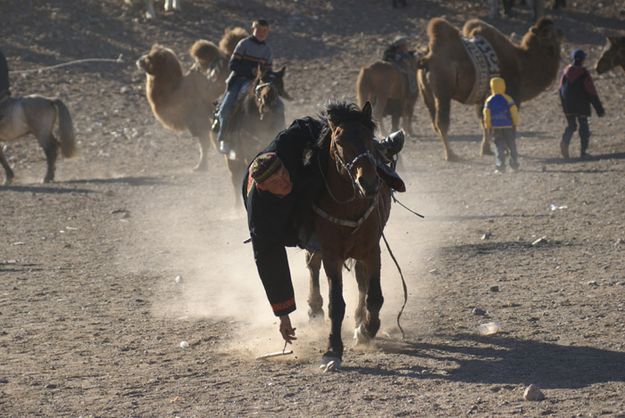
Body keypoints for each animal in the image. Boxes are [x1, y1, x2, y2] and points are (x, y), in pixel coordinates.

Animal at [304, 102, 388, 370]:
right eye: (340, 140)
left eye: (370, 137)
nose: (368, 181)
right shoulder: (331, 254)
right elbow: (336, 304)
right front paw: (332, 350)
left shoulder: (372, 249)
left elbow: (374, 296)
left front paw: (366, 329)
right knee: (312, 265)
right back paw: (314, 308)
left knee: (362, 281)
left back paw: (360, 318)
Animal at [420, 16, 560, 160]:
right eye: (548, 32)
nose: (561, 34)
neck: (522, 63)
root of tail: (427, 59)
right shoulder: (513, 96)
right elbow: (508, 124)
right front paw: (508, 151)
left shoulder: (485, 97)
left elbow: (485, 121)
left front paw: (486, 149)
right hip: (443, 94)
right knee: (442, 123)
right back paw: (451, 155)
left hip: (428, 95)